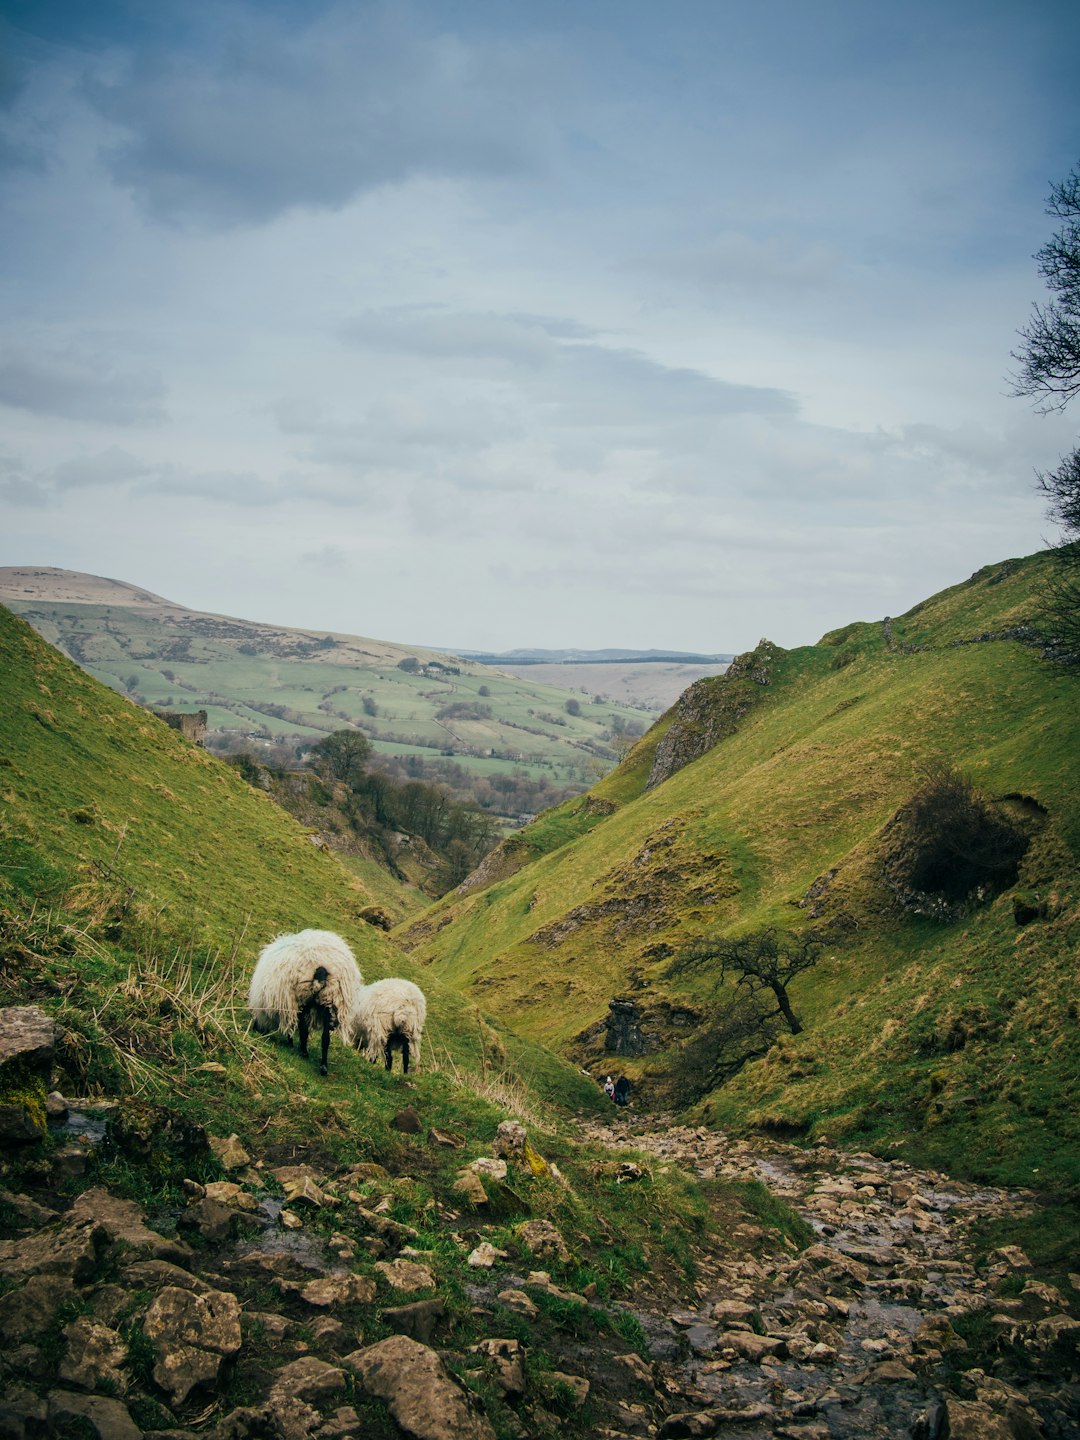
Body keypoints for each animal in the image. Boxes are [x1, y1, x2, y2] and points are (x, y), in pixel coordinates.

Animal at [247, 927, 365, 1077]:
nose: (255, 1029)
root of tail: (320, 966)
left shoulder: (290, 1005)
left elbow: (294, 1026)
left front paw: (291, 1042)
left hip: (303, 996)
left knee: (303, 1029)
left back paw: (303, 1051)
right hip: (329, 998)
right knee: (325, 1038)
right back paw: (323, 1066)